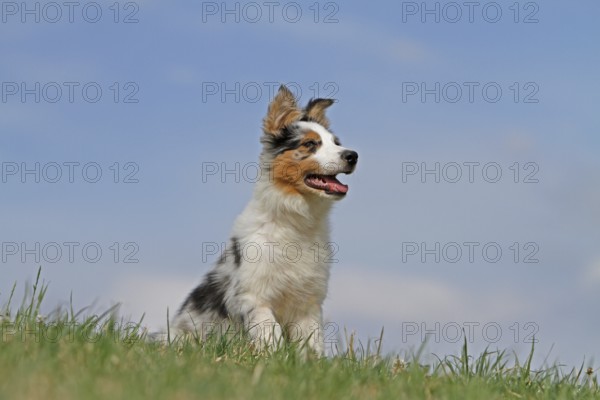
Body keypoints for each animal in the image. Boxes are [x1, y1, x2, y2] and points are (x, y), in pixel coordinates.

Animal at [173, 84, 358, 354]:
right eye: (310, 144)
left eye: (337, 143)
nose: (353, 155)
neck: (295, 221)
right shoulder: (254, 295)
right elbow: (271, 332)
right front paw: (273, 355)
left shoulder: (308, 301)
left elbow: (312, 342)